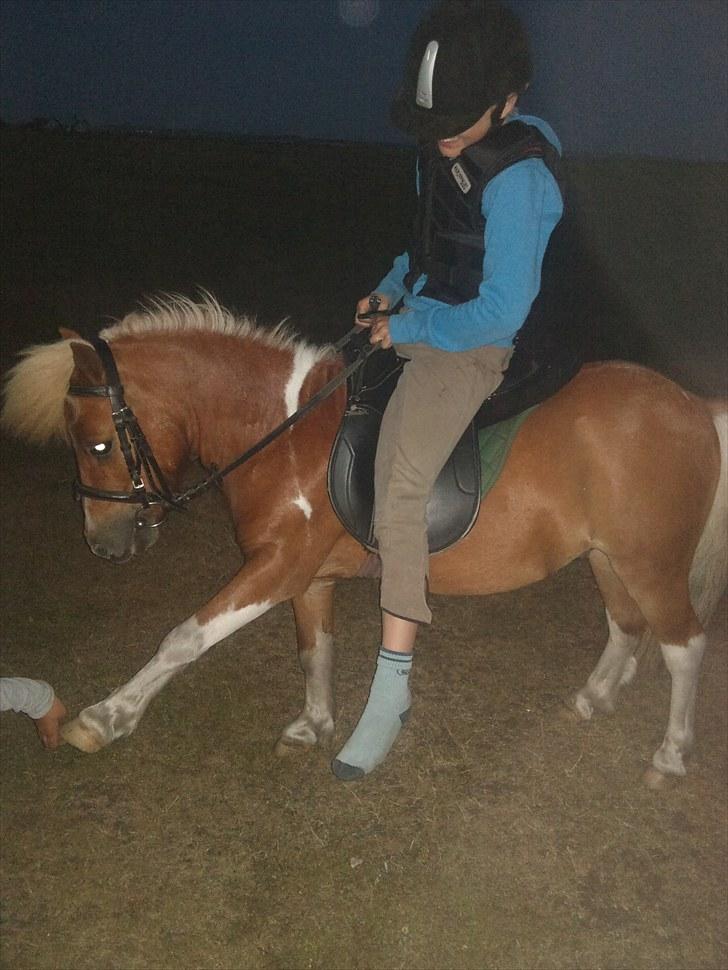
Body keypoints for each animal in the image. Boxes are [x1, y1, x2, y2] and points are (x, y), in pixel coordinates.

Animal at [2, 292, 724, 784]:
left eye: (97, 444)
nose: (102, 544)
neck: (284, 431)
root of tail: (693, 405)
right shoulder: (307, 576)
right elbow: (314, 649)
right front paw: (313, 724)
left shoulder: (276, 567)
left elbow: (183, 638)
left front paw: (105, 718)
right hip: (608, 558)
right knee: (626, 625)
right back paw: (594, 698)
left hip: (652, 563)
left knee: (684, 645)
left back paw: (670, 755)